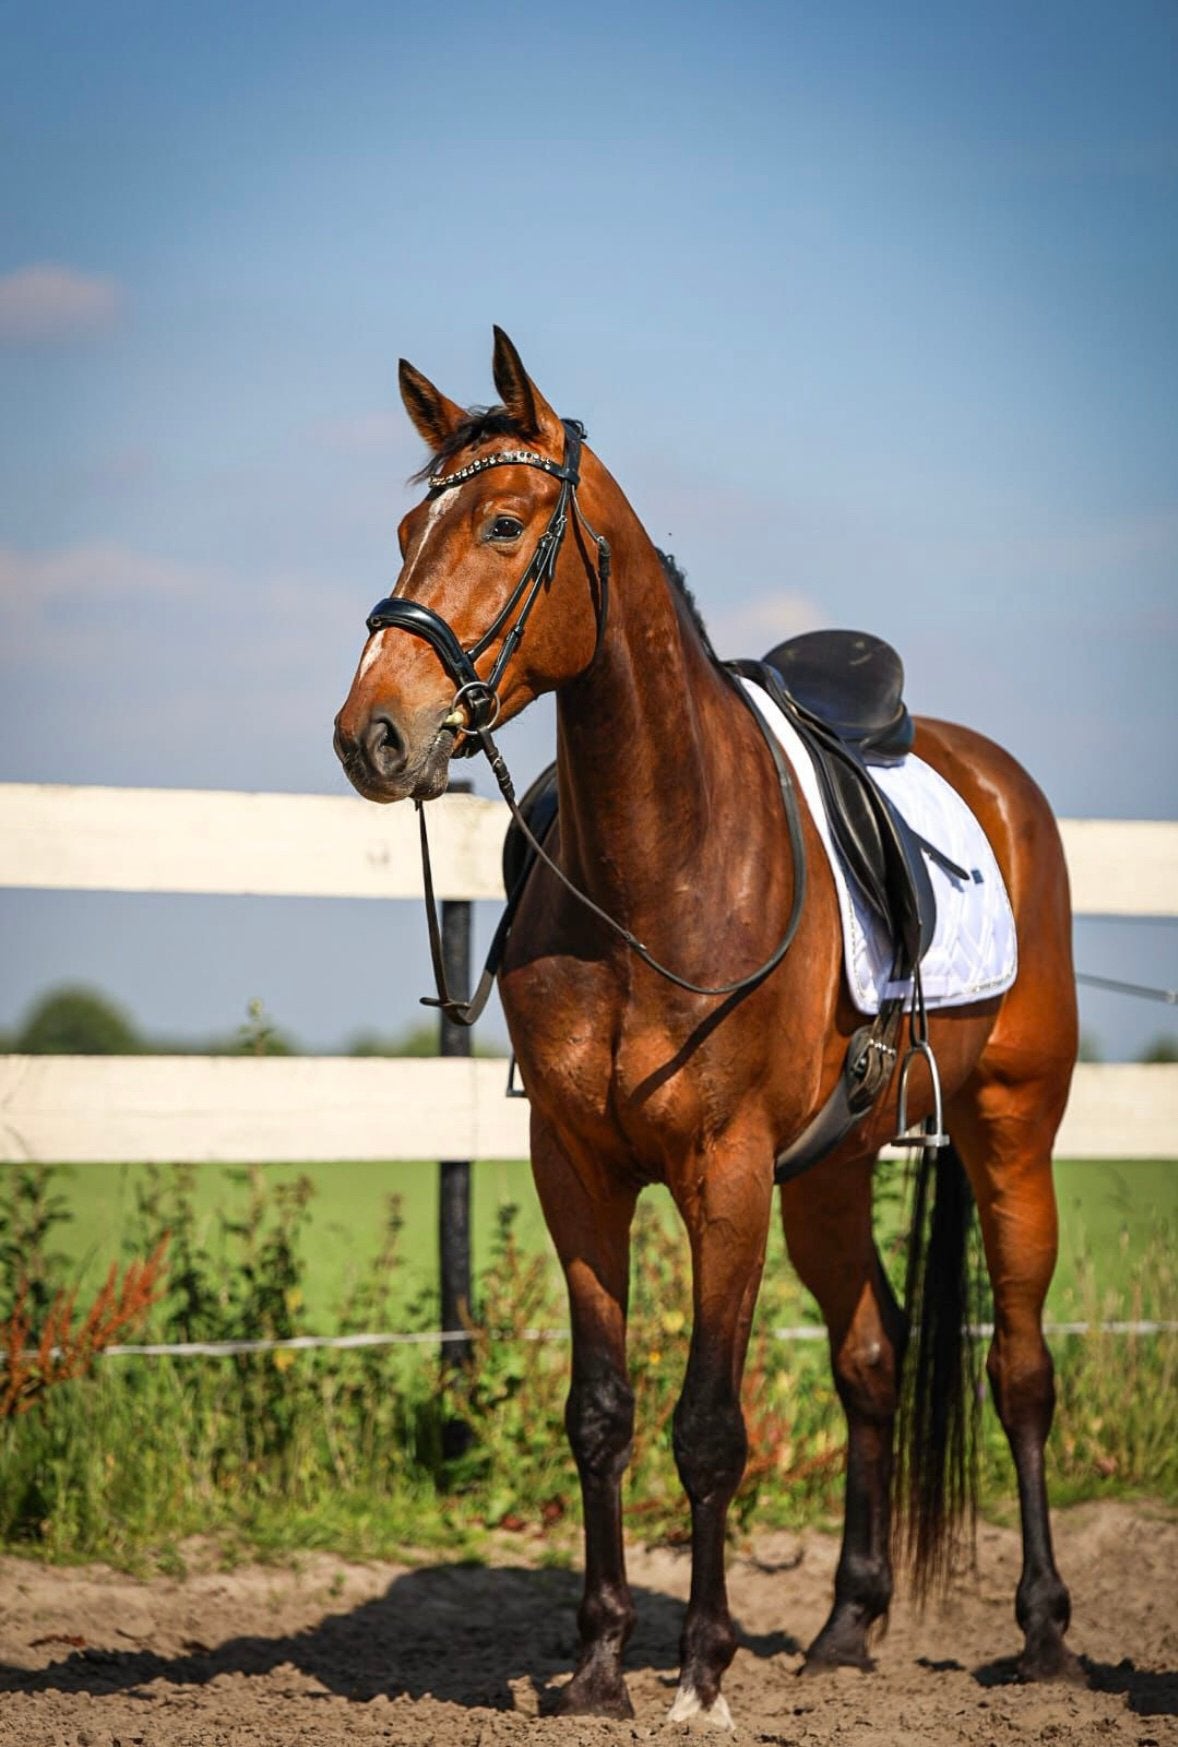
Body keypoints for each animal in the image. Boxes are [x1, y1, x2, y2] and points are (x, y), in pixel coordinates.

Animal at [333, 328, 1079, 1728]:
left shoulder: (723, 1175)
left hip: (1009, 1134)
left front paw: (700, 1672)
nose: (373, 733)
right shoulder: (576, 1170)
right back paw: (845, 1624)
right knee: (870, 1357)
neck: (656, 870)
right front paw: (595, 1664)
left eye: (503, 524)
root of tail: (996, 776)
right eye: (407, 528)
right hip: (832, 1174)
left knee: (1016, 1369)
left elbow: (707, 1425)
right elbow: (602, 1411)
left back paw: (1043, 1631)